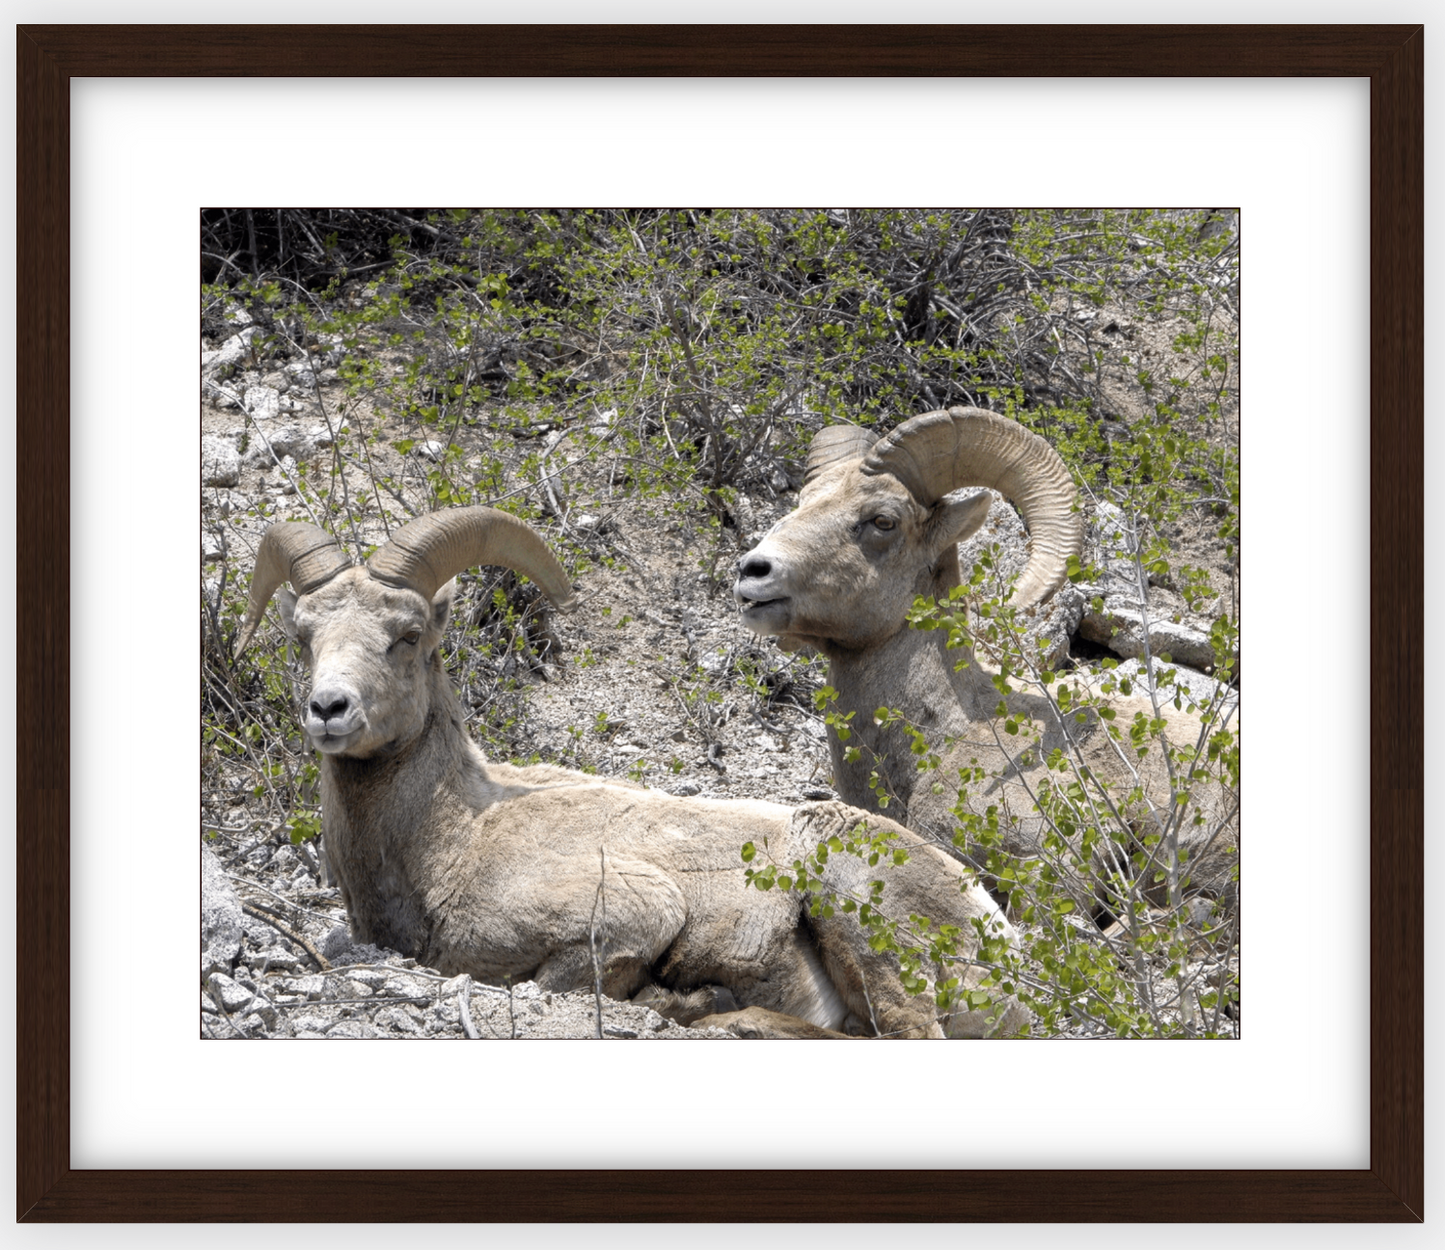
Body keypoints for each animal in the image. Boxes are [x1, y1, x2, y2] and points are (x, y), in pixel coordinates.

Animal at [236, 502, 1023, 1040]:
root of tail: (994, 929)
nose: (329, 709)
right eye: (304, 635)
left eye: (406, 636)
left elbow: (573, 982)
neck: (453, 841)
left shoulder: (631, 916)